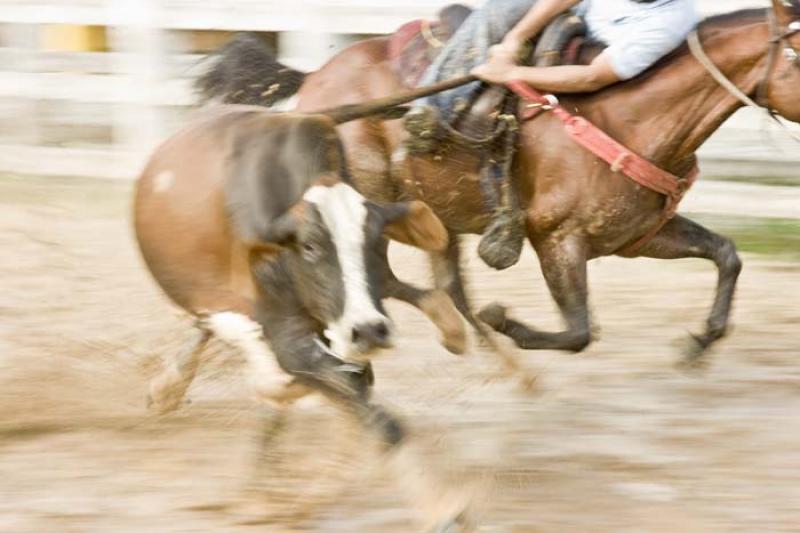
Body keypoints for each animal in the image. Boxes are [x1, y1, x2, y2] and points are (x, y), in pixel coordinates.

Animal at [198, 2, 800, 368]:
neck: (629, 115)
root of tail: (316, 82)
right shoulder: (557, 238)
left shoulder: (637, 236)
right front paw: (506, 320)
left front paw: (699, 343)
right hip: (365, 204)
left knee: (449, 288)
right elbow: (579, 330)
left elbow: (726, 254)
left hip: (432, 213)